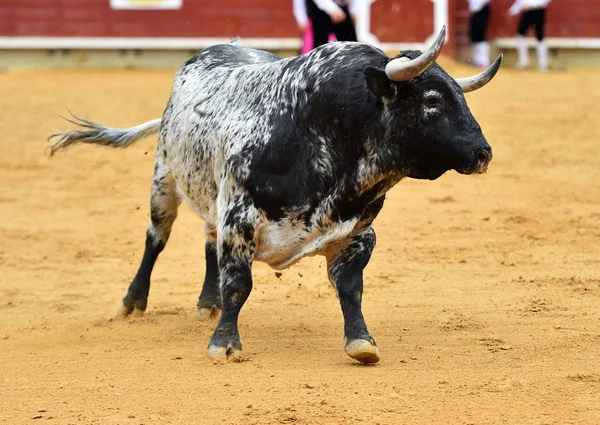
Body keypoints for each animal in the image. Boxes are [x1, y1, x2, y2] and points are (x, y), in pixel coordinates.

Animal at [50, 28, 502, 362]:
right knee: (156, 240)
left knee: (207, 241)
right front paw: (224, 344)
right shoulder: (239, 217)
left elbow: (350, 287)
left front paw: (361, 343)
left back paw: (207, 301)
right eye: (432, 100)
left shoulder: (357, 231)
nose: (483, 153)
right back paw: (133, 302)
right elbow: (239, 283)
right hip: (165, 179)